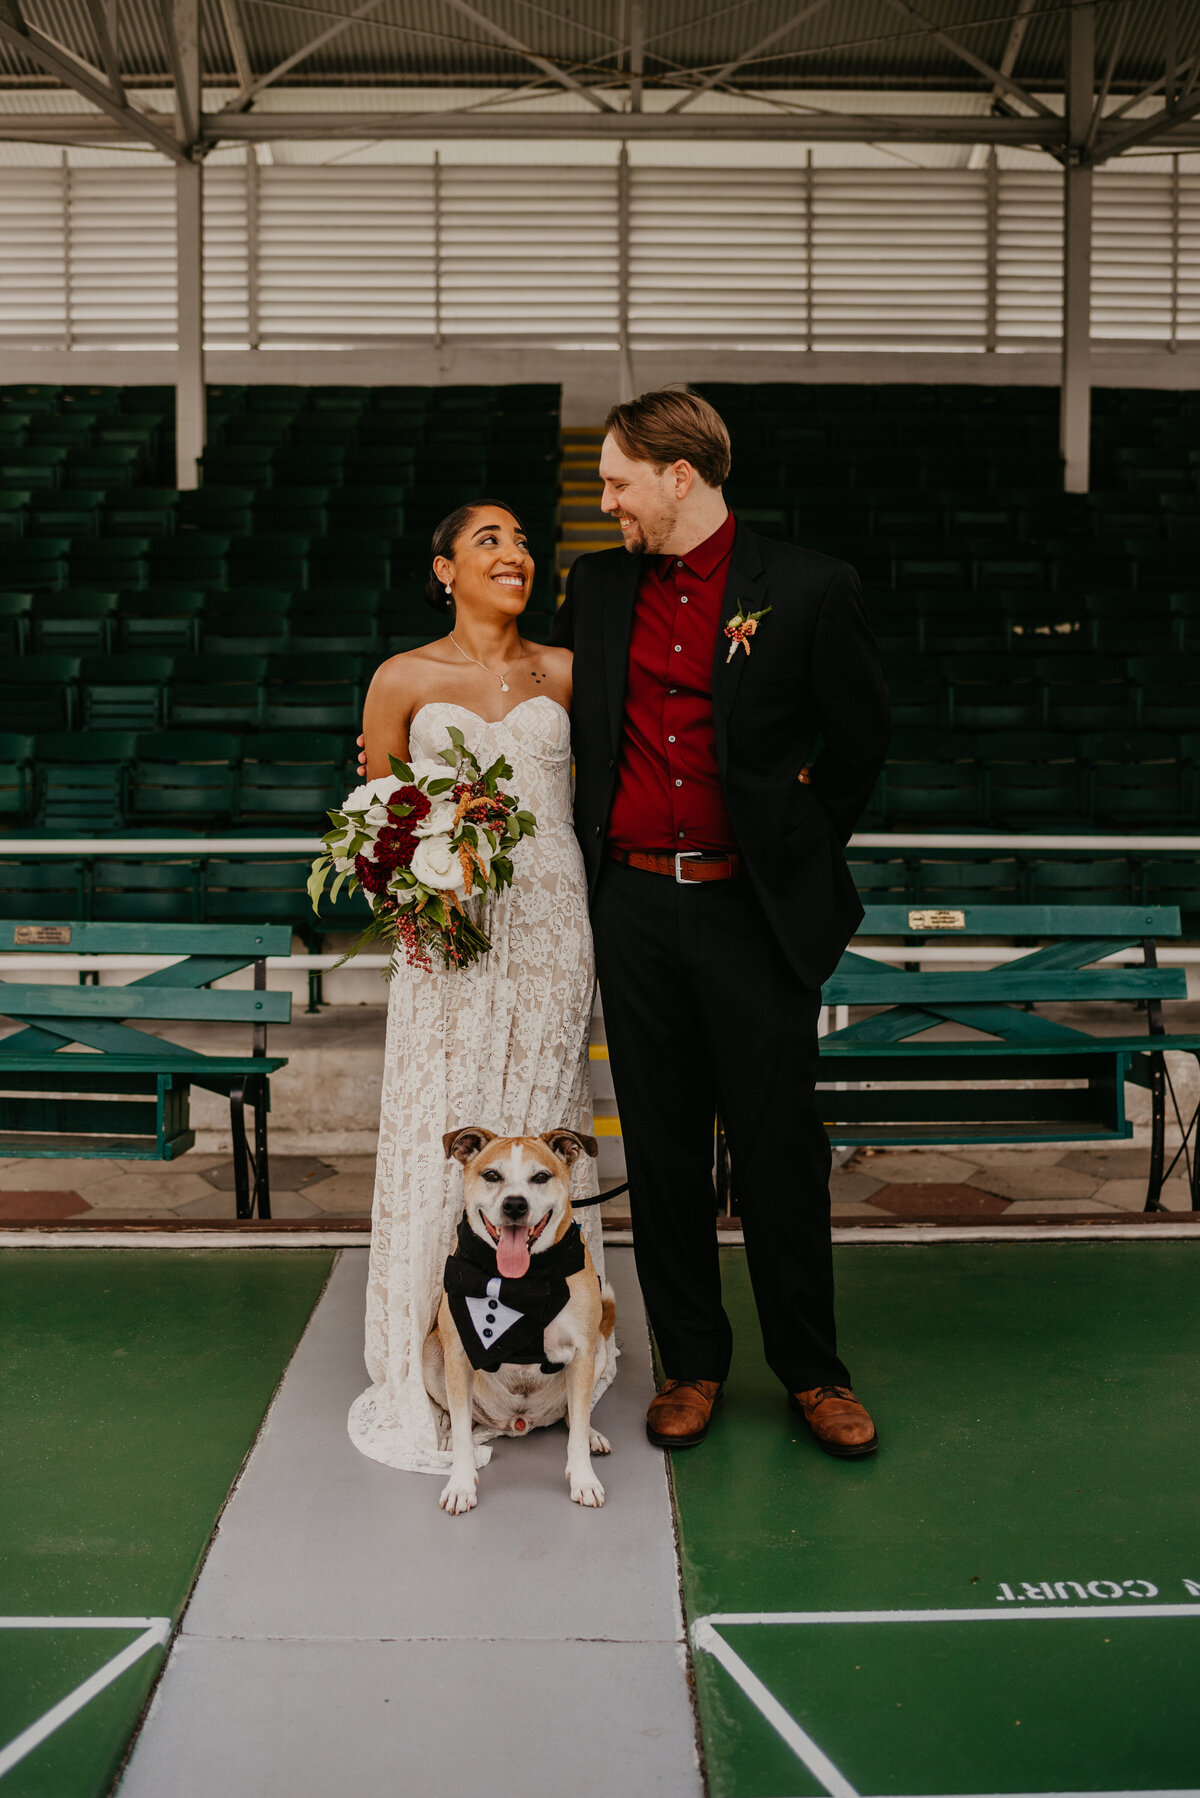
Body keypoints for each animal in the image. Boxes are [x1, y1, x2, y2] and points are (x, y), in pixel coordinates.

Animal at [422, 1129, 615, 1510]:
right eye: (491, 1175)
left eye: (540, 1177)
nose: (515, 1205)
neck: (523, 1282)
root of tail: (518, 1422)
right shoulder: (458, 1353)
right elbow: (463, 1430)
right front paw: (461, 1484)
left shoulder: (582, 1352)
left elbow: (578, 1424)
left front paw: (583, 1479)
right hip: (432, 1353)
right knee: (460, 1414)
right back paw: (449, 1436)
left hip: (599, 1348)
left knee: (574, 1415)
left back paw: (592, 1435)